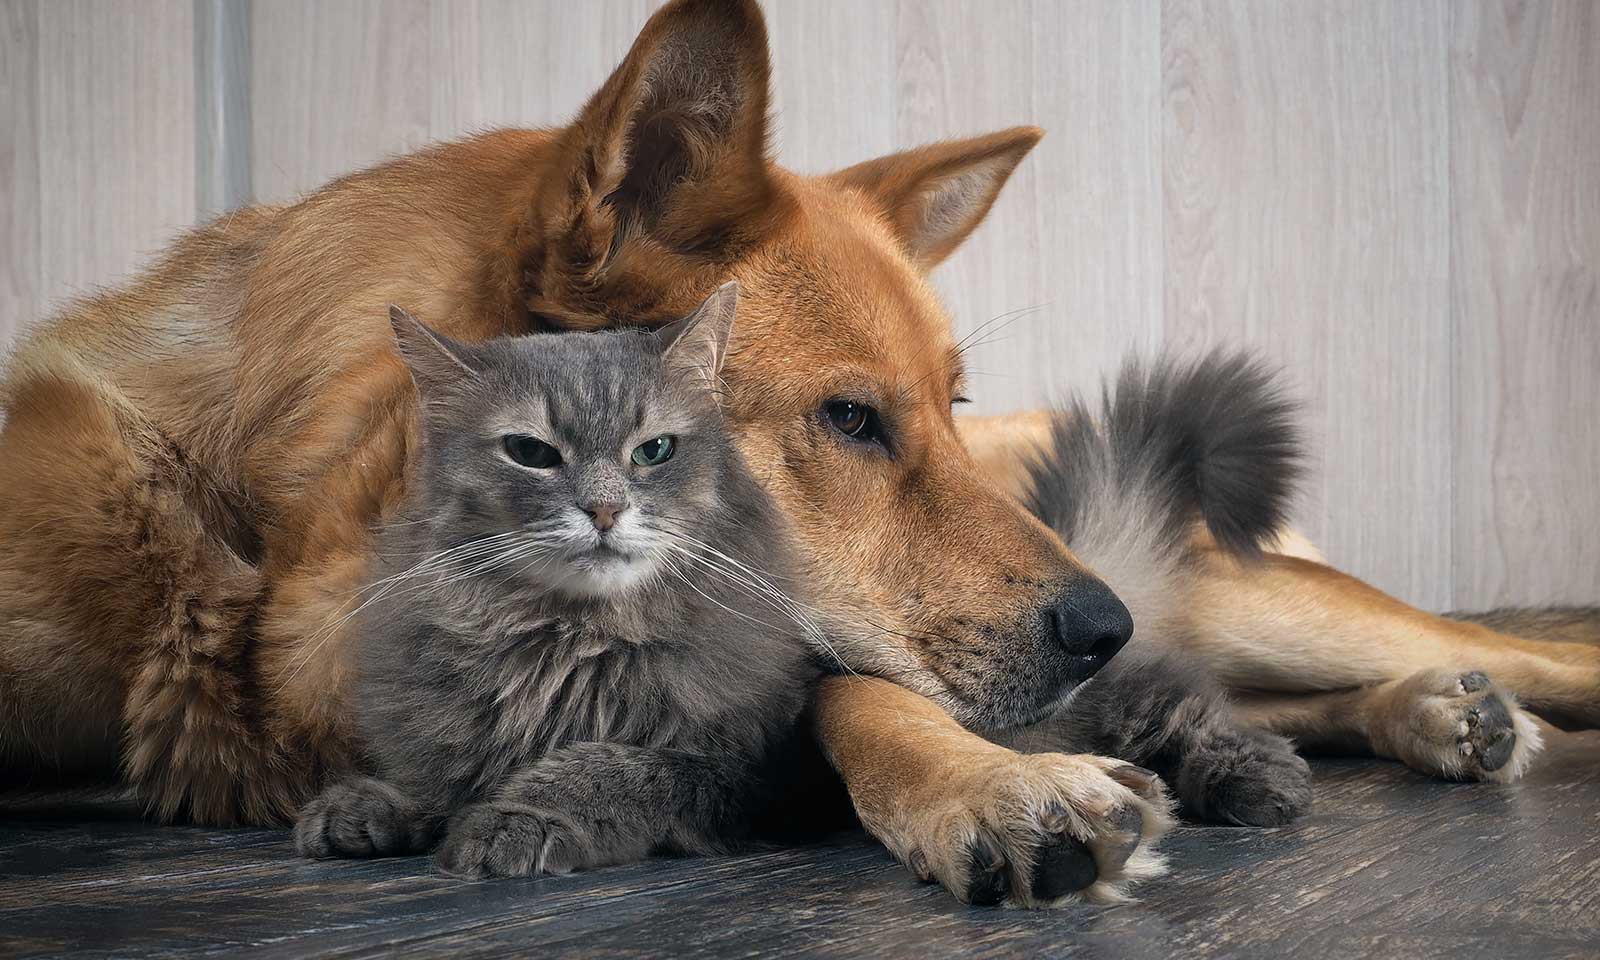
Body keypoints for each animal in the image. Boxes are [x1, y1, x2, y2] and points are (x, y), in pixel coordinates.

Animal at [296, 281, 825, 876]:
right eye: (530, 452)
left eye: (654, 451)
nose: (604, 509)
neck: (572, 646)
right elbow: (436, 780)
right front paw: (372, 806)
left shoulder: (743, 777)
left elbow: (605, 768)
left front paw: (515, 818)